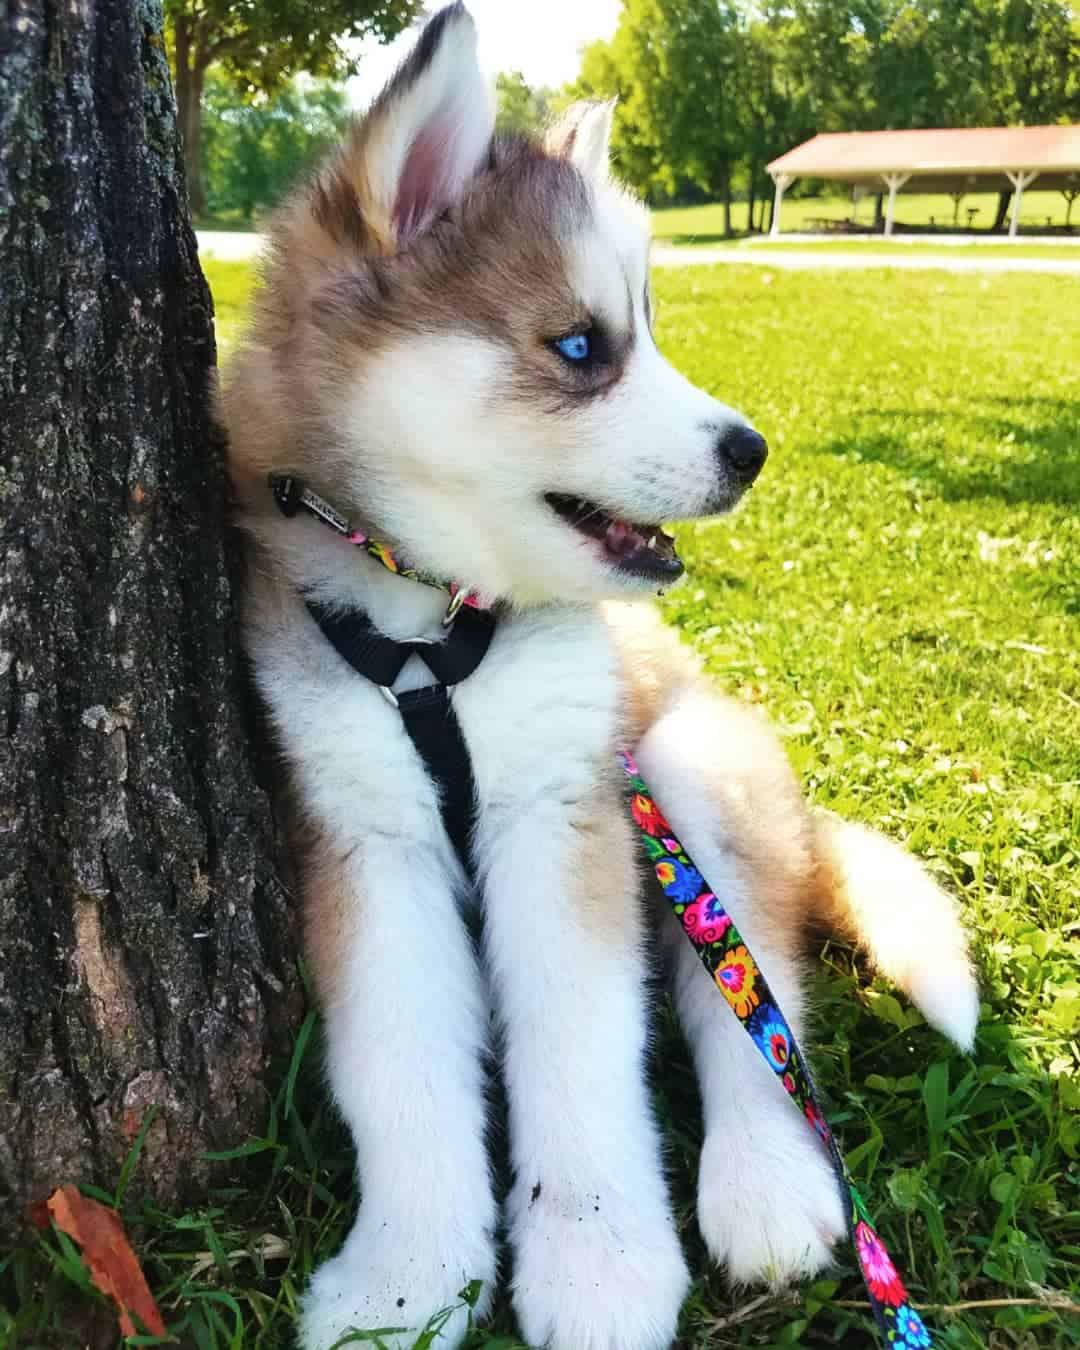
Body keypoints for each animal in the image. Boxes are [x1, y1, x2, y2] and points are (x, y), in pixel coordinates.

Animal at [218, 5, 977, 1344]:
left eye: (649, 330)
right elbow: (398, 1064)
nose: (752, 450)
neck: (434, 635)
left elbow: (581, 1047)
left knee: (756, 1004)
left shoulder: (561, 806)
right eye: (582, 346)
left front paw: (598, 1259)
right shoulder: (363, 840)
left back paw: (767, 1184)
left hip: (683, 768)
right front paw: (407, 1275)